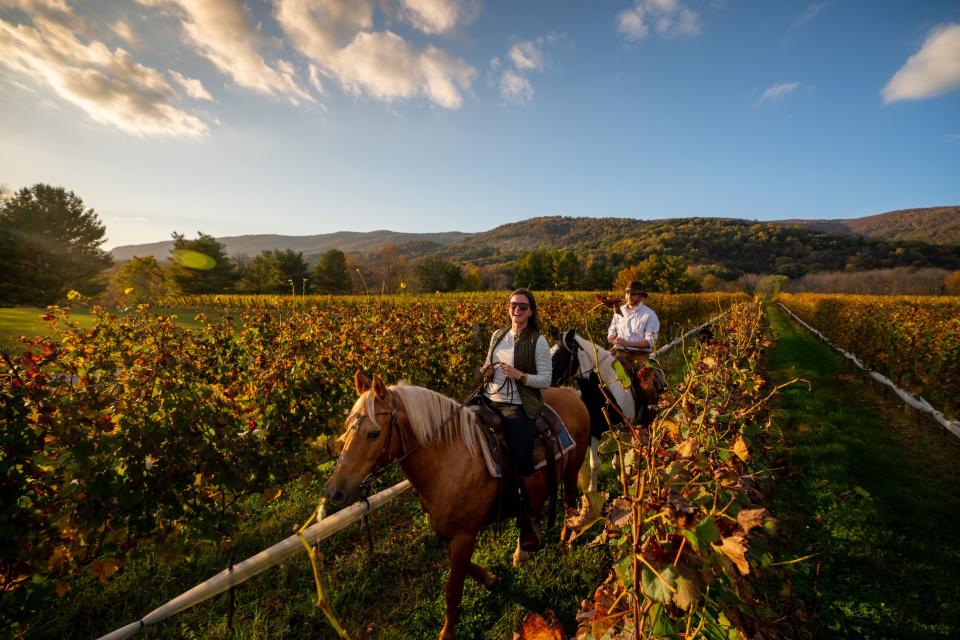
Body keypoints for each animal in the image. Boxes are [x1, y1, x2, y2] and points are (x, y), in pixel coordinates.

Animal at [326, 372, 588, 636]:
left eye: (373, 433)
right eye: (346, 430)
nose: (334, 491)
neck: (448, 460)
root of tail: (569, 393)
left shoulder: (464, 536)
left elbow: (452, 589)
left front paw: (447, 632)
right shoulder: (447, 532)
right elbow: (463, 569)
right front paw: (490, 579)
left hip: (571, 472)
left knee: (569, 503)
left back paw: (567, 537)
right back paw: (524, 548)